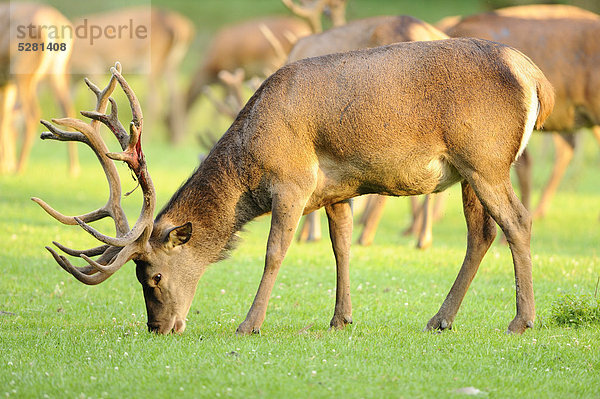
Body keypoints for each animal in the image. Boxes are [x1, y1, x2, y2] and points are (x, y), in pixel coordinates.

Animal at [0, 2, 78, 175]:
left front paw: (5, 165)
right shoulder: (5, 84)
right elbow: (4, 117)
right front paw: (5, 164)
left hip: (22, 70)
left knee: (32, 114)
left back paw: (19, 167)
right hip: (56, 71)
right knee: (68, 109)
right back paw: (73, 168)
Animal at [69, 6, 195, 144]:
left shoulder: (93, 65)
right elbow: (70, 100)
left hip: (151, 61)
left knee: (154, 100)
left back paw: (147, 138)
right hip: (171, 65)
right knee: (175, 96)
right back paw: (178, 140)